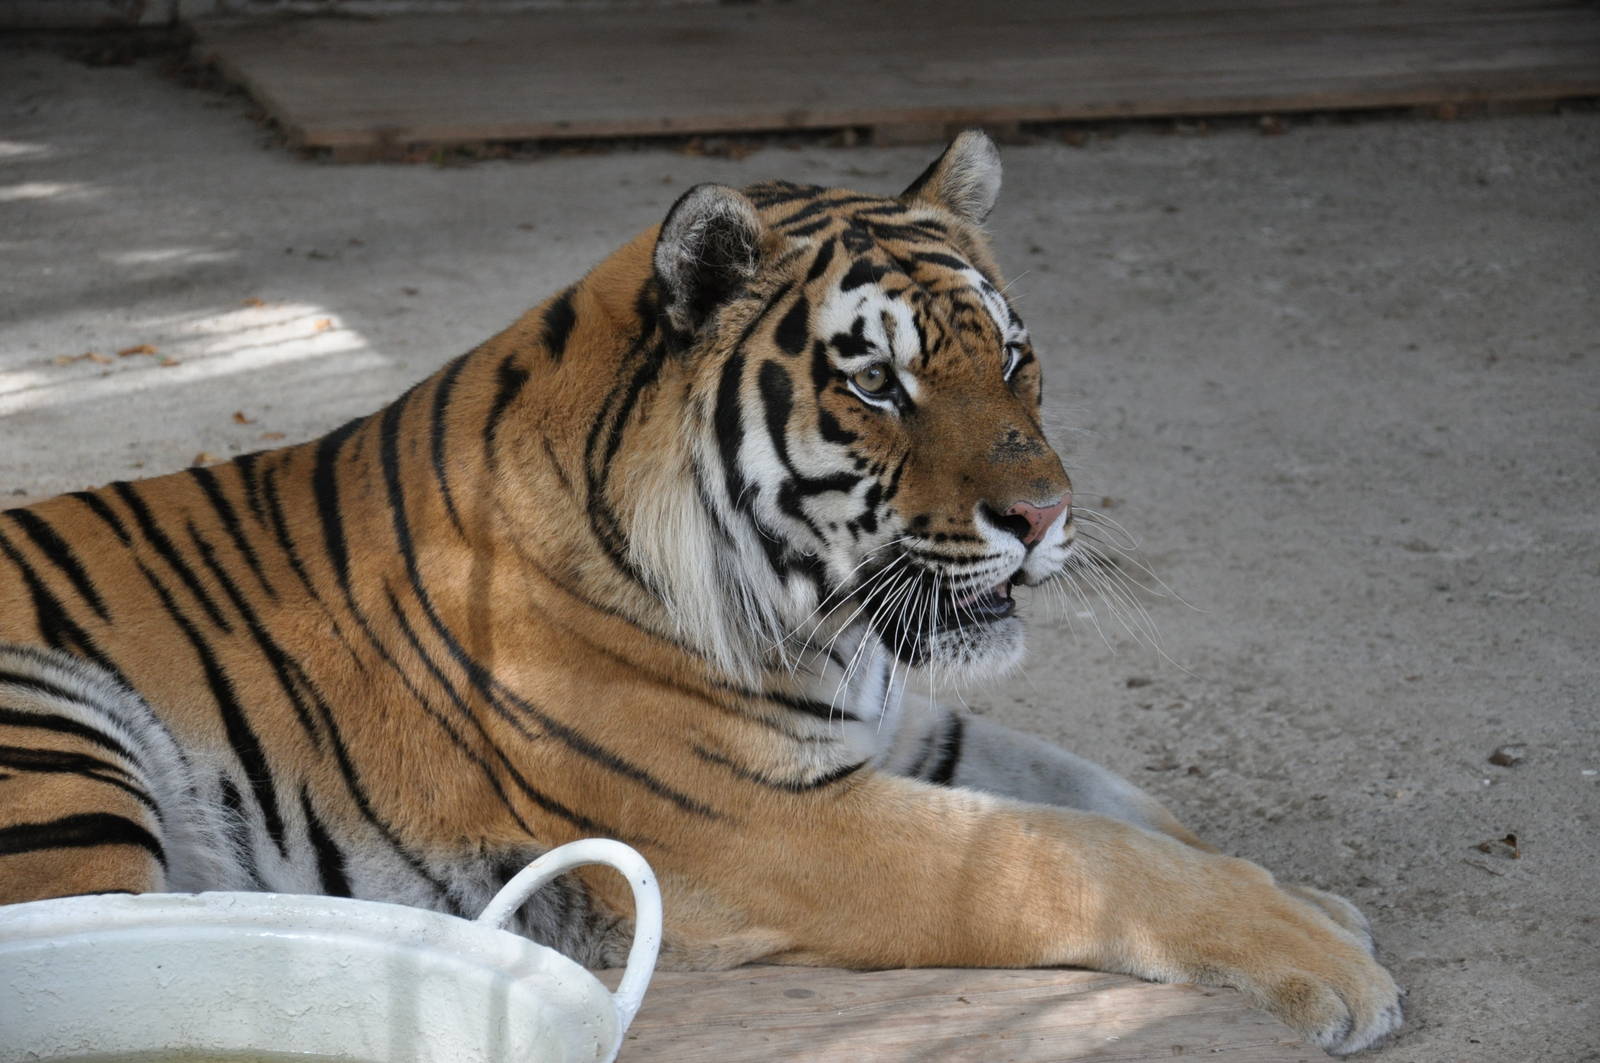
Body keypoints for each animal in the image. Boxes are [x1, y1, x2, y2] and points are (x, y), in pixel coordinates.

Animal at [0, 131, 1401, 1054]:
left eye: (1010, 357)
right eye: (877, 383)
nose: (1045, 516)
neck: (826, 622)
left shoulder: (902, 729)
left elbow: (1132, 809)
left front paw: (1310, 899)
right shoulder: (772, 820)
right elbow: (1081, 851)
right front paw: (1330, 957)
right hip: (60, 747)